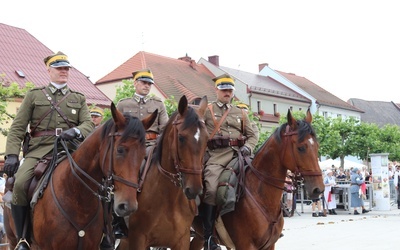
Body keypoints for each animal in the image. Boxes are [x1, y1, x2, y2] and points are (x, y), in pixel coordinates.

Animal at [118, 94, 209, 249]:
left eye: (207, 138)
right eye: (181, 137)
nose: (195, 189)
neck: (169, 199)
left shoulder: (182, 240)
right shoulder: (138, 239)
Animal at [189, 108, 324, 250]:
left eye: (317, 146)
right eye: (301, 148)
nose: (318, 189)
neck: (261, 196)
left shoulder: (270, 245)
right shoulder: (245, 245)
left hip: (199, 236)